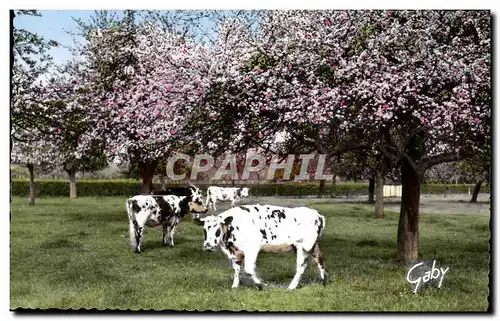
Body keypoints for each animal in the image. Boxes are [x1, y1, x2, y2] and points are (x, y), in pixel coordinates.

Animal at [199, 205, 328, 290]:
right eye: (204, 230)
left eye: (217, 229)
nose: (208, 246)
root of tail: (317, 214)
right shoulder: (235, 252)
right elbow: (236, 269)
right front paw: (235, 286)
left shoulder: (251, 249)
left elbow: (249, 270)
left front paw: (260, 284)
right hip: (312, 246)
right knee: (320, 258)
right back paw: (324, 281)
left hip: (304, 247)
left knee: (301, 266)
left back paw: (291, 286)